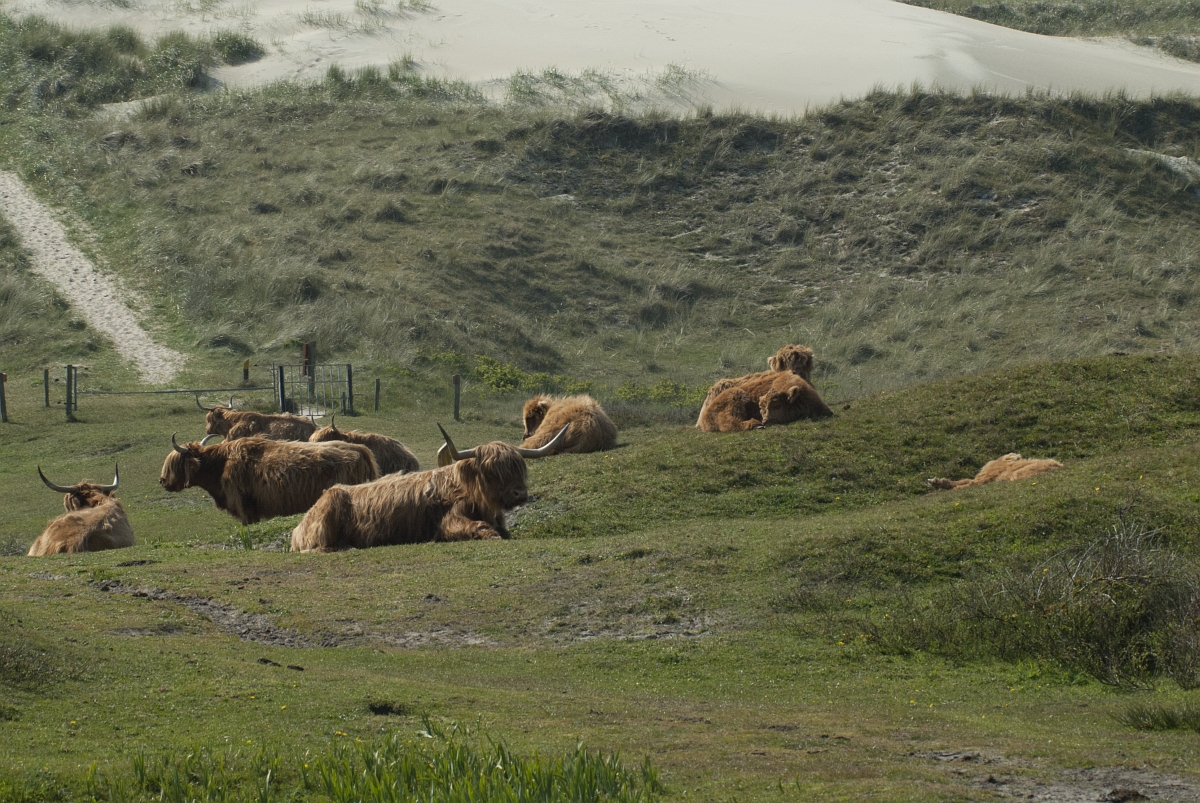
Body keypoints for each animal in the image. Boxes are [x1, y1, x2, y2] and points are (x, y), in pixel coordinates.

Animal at [290, 423, 569, 552]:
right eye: (492, 470)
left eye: (519, 468)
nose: (519, 493)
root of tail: (298, 528)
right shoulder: (447, 522)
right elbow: (479, 528)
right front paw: (490, 535)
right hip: (329, 510)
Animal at [698, 370, 831, 432]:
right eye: (762, 407)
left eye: (777, 406)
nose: (766, 420)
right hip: (736, 395)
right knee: (727, 422)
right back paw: (755, 424)